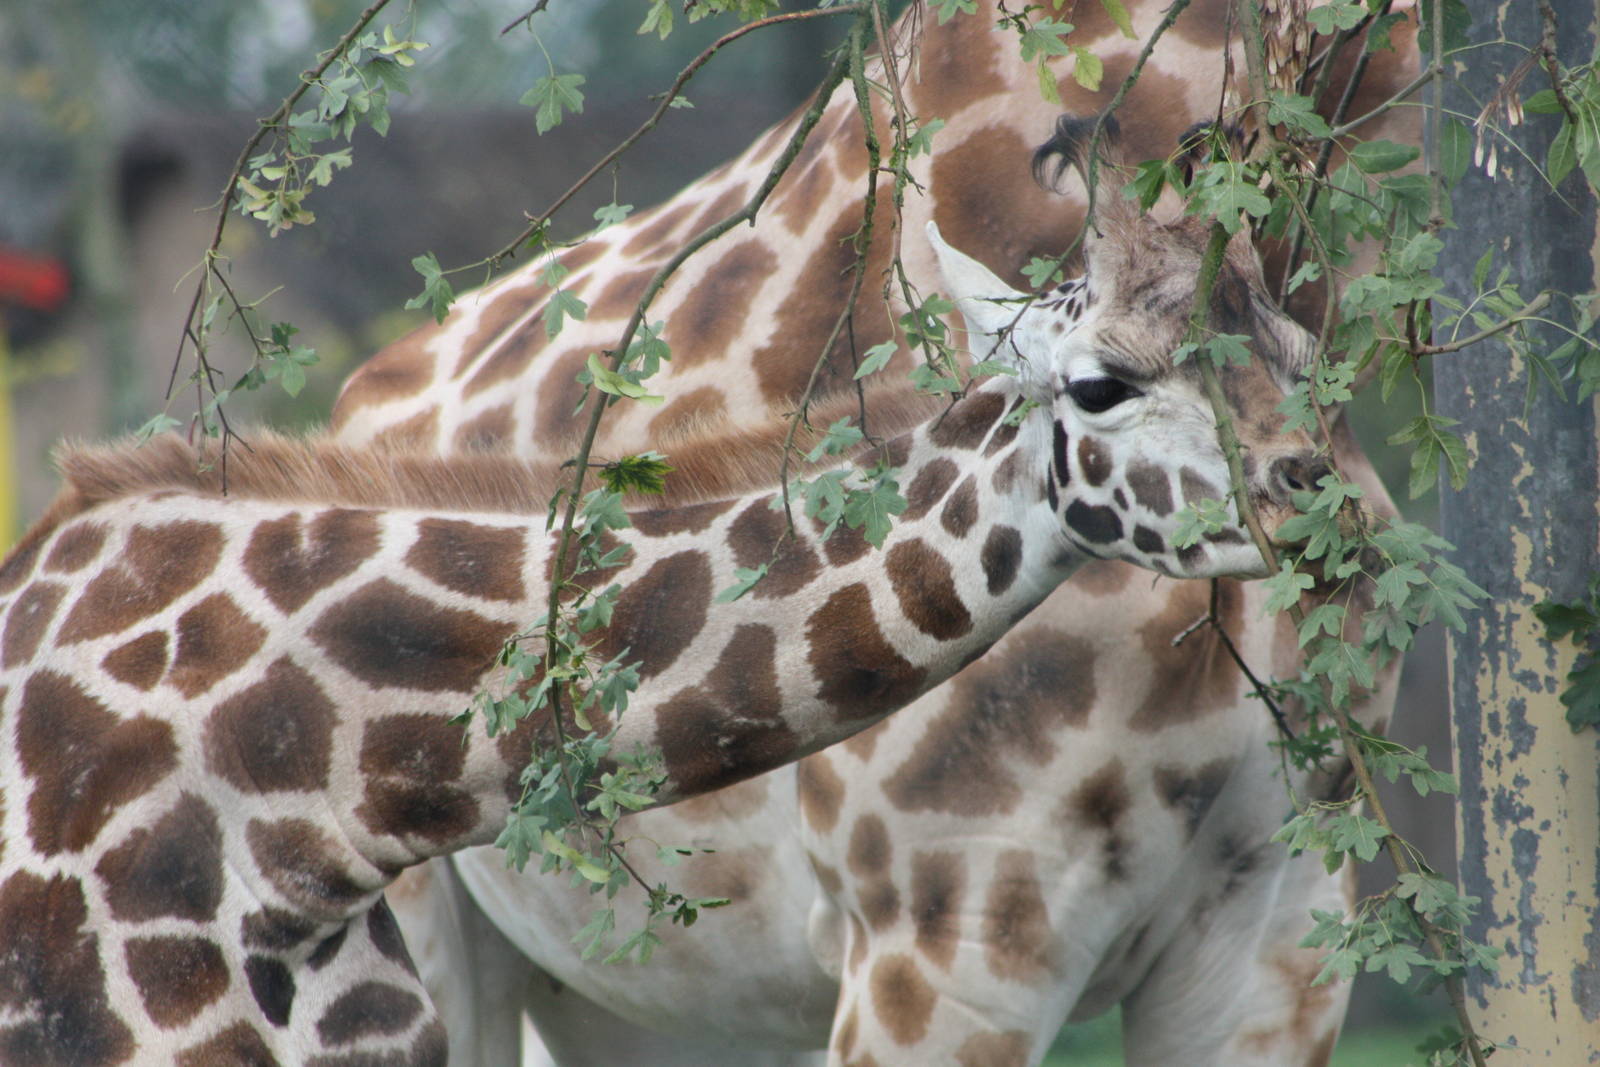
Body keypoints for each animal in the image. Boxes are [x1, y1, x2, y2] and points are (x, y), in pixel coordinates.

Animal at [326, 2, 1417, 1064]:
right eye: (1101, 385)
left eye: (1307, 362)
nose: (1319, 518)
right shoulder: (947, 929)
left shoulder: (1278, 922)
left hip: (648, 984)